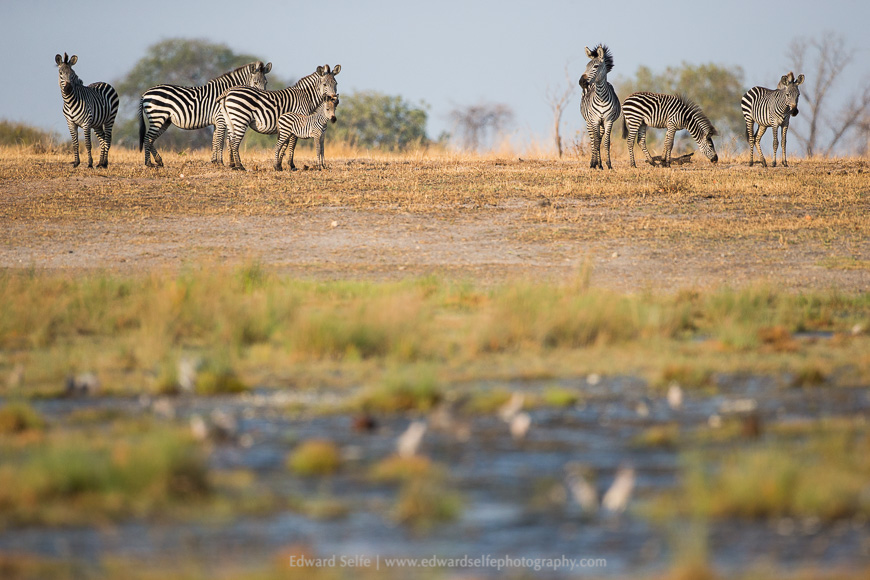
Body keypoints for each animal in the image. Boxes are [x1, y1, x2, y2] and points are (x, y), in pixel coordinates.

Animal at [138, 61, 272, 167]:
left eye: (266, 82)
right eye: (255, 82)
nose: (262, 100)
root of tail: (145, 93)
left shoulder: (217, 121)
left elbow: (215, 140)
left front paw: (215, 161)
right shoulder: (221, 119)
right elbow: (220, 140)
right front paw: (220, 163)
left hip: (165, 120)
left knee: (151, 139)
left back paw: (158, 161)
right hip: (157, 116)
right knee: (148, 138)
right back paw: (148, 163)